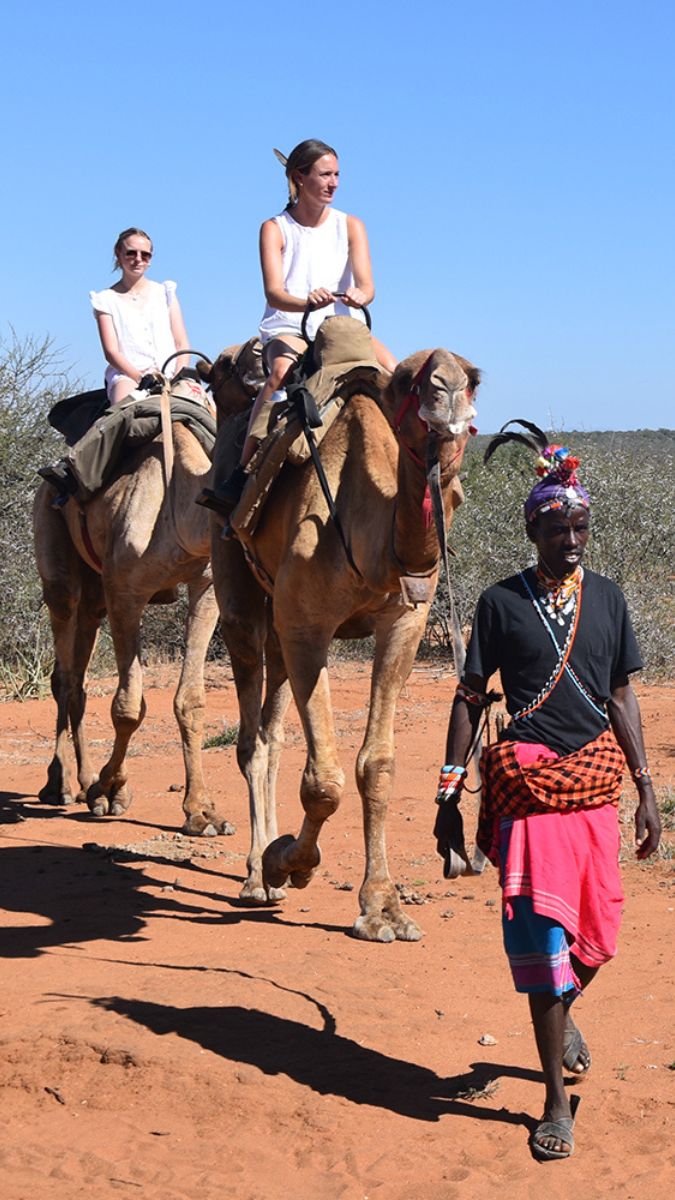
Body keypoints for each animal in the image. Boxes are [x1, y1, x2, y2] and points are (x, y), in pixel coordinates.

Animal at [33, 416, 232, 835]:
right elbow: (127, 706)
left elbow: (191, 700)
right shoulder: (125, 591)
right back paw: (60, 786)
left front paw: (203, 812)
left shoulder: (207, 587)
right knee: (65, 673)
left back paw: (83, 781)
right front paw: (109, 792)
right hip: (56, 556)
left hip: (95, 595)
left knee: (78, 676)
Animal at [204, 338, 479, 940]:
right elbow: (324, 781)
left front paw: (382, 908)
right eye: (404, 381)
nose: (446, 388)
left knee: (271, 728)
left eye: (474, 378)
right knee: (251, 737)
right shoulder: (309, 626)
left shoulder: (403, 624)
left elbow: (377, 766)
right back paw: (257, 874)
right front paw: (288, 862)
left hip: (279, 623)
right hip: (235, 581)